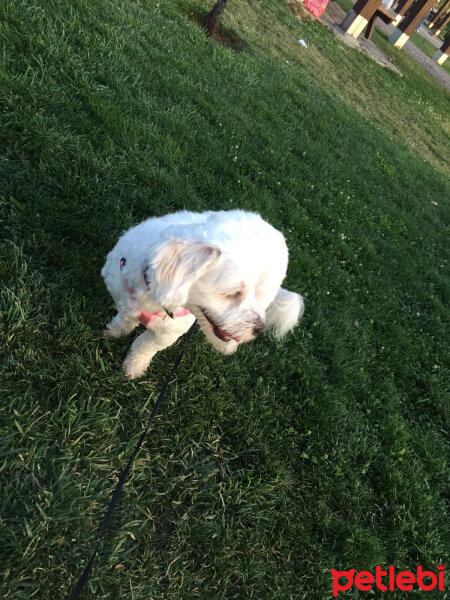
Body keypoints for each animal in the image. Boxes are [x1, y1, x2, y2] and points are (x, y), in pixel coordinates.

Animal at [102, 211, 306, 378]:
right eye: (233, 293)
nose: (260, 330)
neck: (151, 296)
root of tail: (273, 229)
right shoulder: (122, 295)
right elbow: (125, 318)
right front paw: (116, 330)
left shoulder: (167, 333)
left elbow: (144, 346)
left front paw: (134, 366)